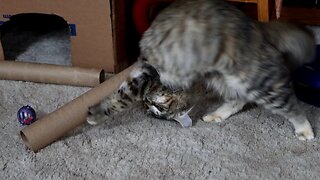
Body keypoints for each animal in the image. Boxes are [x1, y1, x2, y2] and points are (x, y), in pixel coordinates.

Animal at [88, 0, 316, 141]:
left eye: (159, 108)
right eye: (151, 108)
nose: (148, 106)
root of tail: (259, 27)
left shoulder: (151, 71)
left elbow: (121, 97)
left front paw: (94, 114)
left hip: (257, 81)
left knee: (290, 104)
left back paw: (305, 130)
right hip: (227, 80)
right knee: (238, 100)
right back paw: (216, 115)